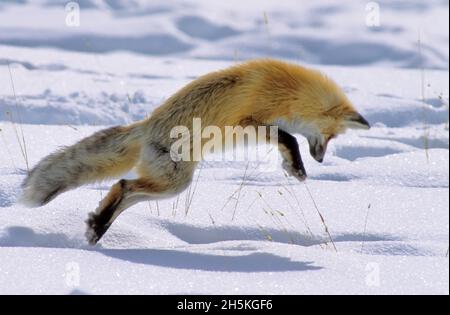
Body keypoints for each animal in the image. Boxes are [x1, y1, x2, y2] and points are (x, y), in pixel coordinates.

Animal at [20, 59, 370, 244]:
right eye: (330, 136)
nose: (321, 158)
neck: (288, 91)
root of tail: (146, 126)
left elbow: (287, 139)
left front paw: (292, 166)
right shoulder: (246, 122)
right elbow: (288, 137)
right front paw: (295, 166)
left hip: (172, 183)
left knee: (127, 191)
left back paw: (98, 225)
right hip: (175, 181)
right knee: (123, 185)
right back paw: (99, 225)